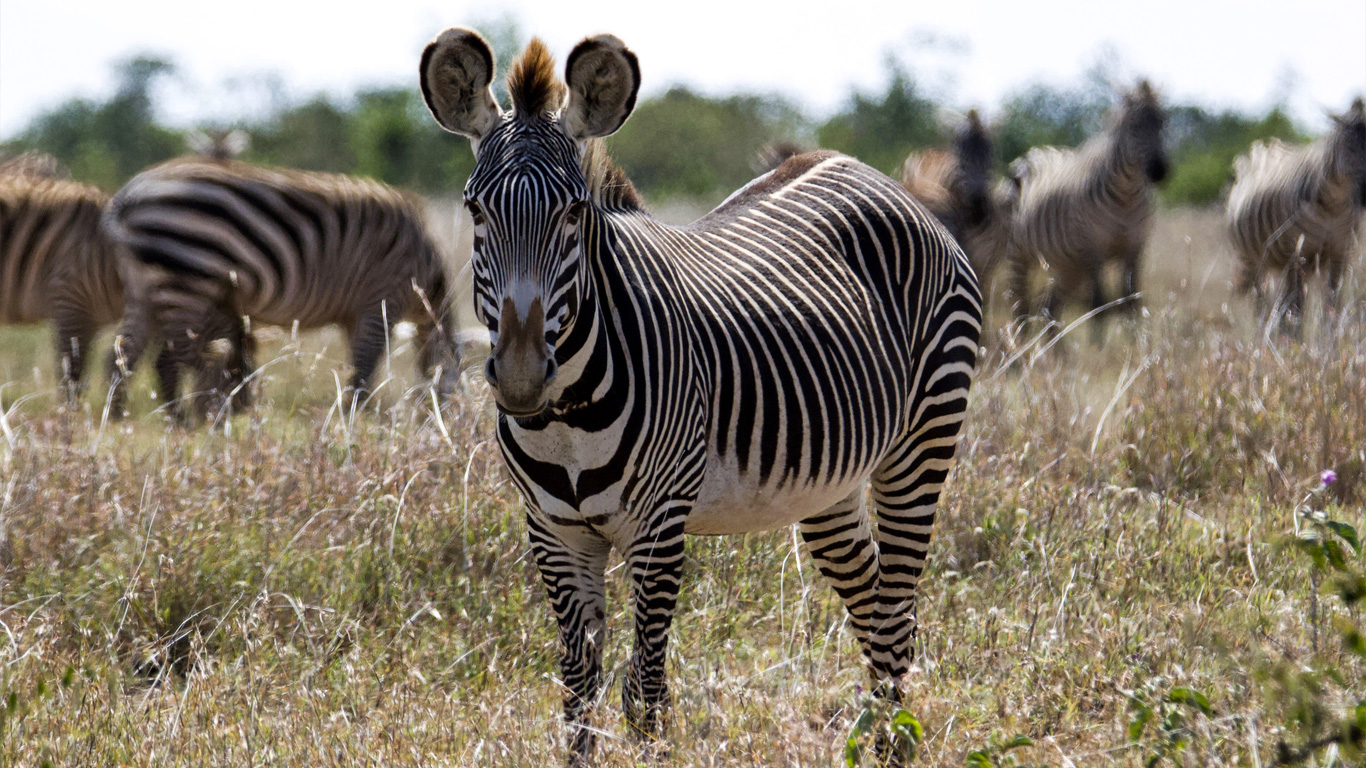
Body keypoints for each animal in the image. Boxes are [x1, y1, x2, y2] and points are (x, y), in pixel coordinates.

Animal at [103, 157, 460, 419]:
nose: (447, 425)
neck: (424, 276)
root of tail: (127, 197)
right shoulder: (382, 299)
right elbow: (365, 366)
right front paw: (354, 420)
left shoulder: (354, 314)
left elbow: (358, 367)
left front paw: (360, 415)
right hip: (187, 281)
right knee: (168, 360)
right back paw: (183, 420)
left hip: (144, 289)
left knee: (122, 356)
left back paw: (119, 422)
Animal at [420, 29, 982, 764]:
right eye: (475, 210)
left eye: (573, 212)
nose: (519, 378)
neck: (567, 420)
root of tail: (872, 174)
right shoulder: (553, 531)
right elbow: (578, 695)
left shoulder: (659, 527)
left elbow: (645, 696)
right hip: (830, 483)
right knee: (872, 598)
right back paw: (878, 735)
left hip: (923, 441)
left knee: (896, 607)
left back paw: (895, 745)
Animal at [1007, 80, 1168, 342]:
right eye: (1133, 125)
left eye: (1163, 122)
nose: (1159, 171)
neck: (1126, 197)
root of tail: (1036, 152)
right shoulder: (1094, 250)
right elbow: (1098, 304)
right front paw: (1098, 348)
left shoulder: (1135, 249)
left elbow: (1132, 301)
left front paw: (1136, 344)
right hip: (1019, 254)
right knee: (1020, 308)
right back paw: (1021, 352)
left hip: (1068, 266)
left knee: (1048, 307)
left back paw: (1054, 352)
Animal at [1226, 97, 1366, 336]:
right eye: (1349, 146)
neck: (1333, 206)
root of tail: (1265, 147)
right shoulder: (1297, 251)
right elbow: (1298, 306)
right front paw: (1298, 343)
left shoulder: (1340, 250)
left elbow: (1333, 303)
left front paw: (1331, 340)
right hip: (1255, 259)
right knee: (1262, 302)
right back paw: (1266, 336)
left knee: (1282, 301)